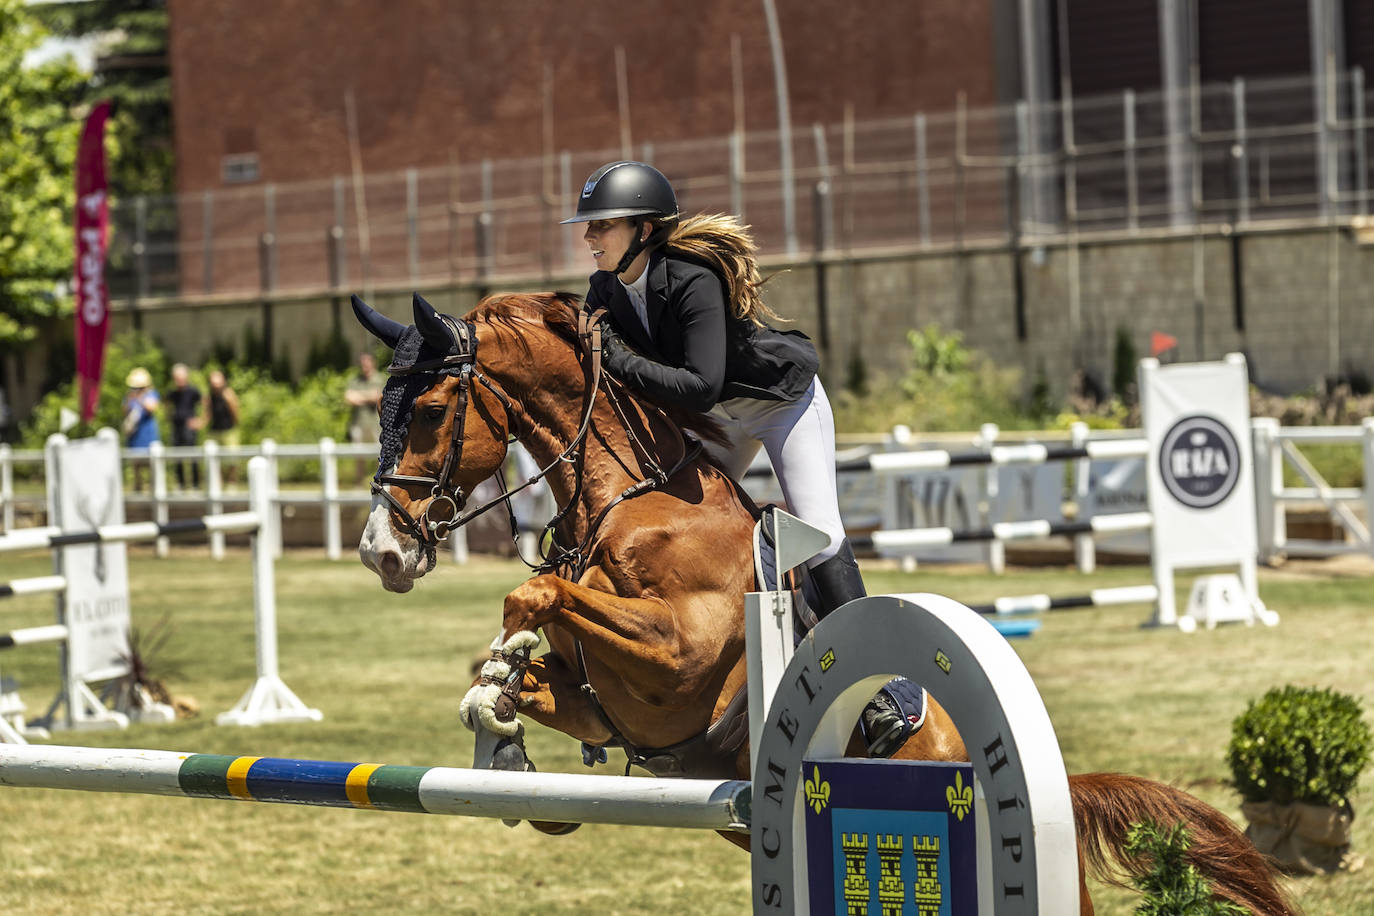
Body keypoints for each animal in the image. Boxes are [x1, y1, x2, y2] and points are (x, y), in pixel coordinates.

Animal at [354, 293, 1297, 916]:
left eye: (430, 408)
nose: (381, 552)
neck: (629, 499)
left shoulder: (676, 657)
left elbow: (539, 590)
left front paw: (502, 681)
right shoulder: (609, 708)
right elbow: (539, 646)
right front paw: (498, 714)